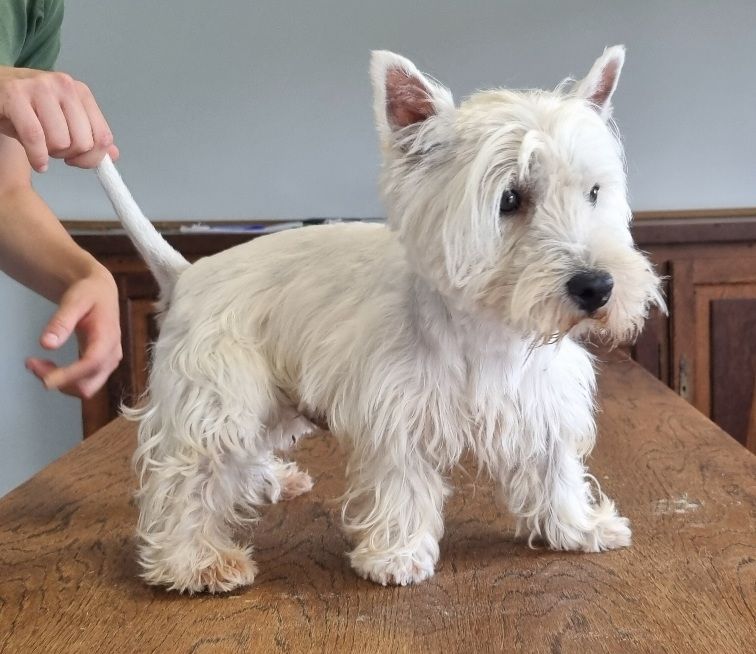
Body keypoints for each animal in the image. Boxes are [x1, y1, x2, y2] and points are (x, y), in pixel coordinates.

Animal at [94, 46, 660, 596]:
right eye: (511, 198)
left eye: (594, 192)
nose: (597, 287)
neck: (487, 330)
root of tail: (188, 272)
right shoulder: (396, 411)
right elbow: (403, 484)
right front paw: (397, 557)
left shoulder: (539, 404)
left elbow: (554, 468)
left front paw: (579, 527)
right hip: (221, 393)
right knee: (187, 475)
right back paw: (195, 562)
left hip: (273, 396)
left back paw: (272, 481)